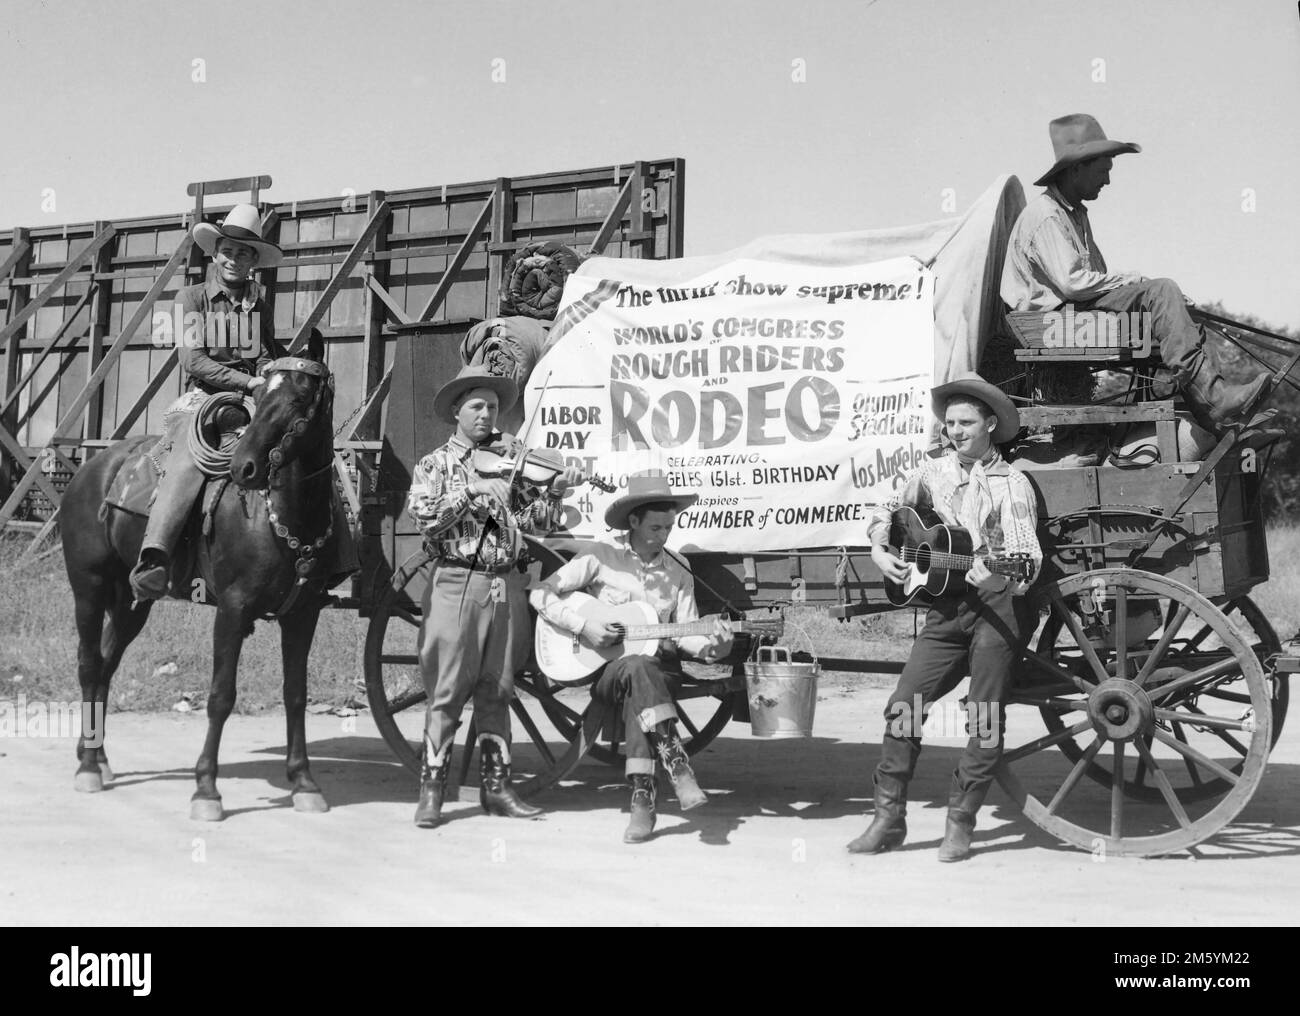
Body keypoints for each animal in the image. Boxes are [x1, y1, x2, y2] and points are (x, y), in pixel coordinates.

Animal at [58, 335, 343, 826]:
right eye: (263, 395)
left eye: (300, 396)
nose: (245, 467)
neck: (280, 517)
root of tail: (91, 471)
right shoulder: (232, 610)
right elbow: (220, 696)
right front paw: (206, 789)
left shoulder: (303, 615)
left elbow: (296, 694)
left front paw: (304, 783)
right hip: (88, 588)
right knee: (90, 664)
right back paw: (90, 767)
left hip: (132, 601)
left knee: (108, 663)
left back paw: (97, 755)